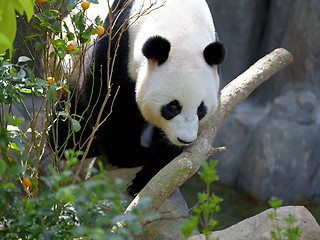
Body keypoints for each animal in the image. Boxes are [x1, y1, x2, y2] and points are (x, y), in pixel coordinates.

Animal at [51, 0, 225, 196]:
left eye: (200, 109)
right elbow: (108, 103)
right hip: (69, 64)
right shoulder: (118, 42)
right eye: (173, 107)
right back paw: (73, 145)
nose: (184, 139)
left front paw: (146, 177)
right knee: (71, 111)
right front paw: (130, 156)